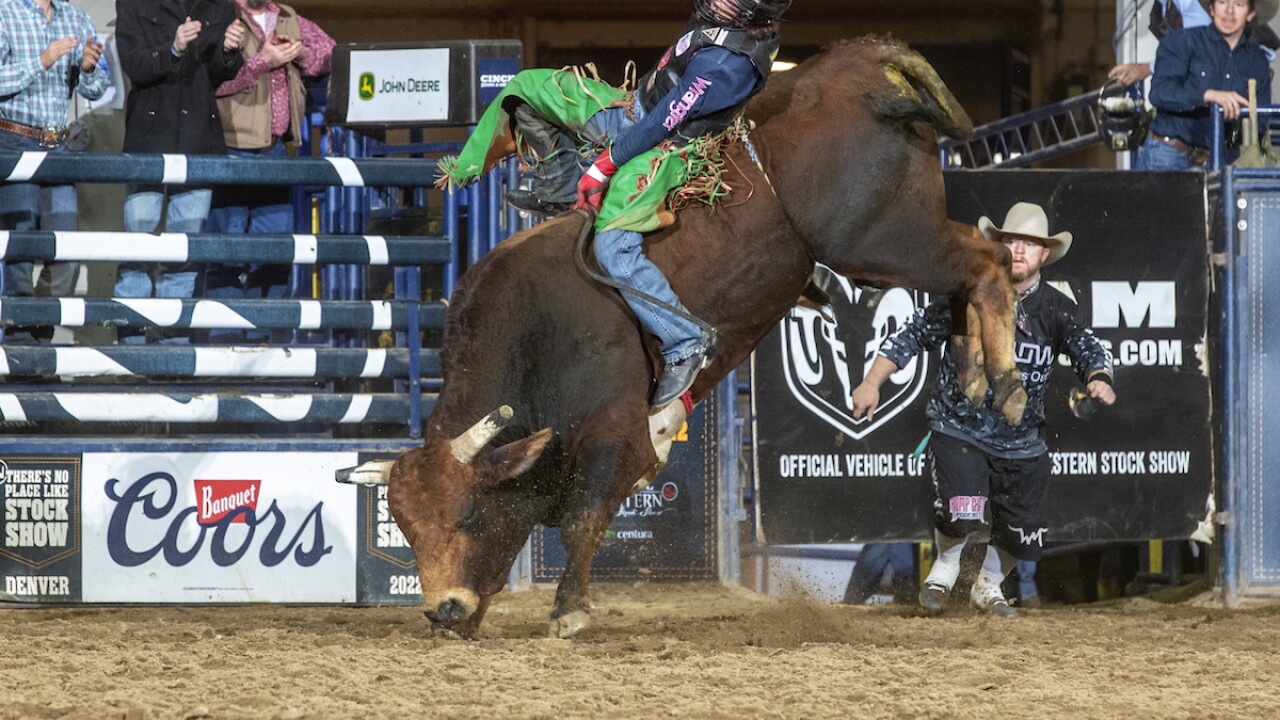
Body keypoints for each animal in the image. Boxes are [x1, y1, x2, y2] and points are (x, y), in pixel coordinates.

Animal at [349, 36, 1025, 639]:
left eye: (467, 513)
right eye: (406, 530)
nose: (444, 610)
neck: (536, 338)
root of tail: (862, 58)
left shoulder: (615, 434)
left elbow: (582, 520)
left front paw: (569, 610)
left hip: (886, 240)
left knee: (989, 261)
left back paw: (1006, 384)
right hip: (890, 248)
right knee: (969, 280)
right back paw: (975, 374)